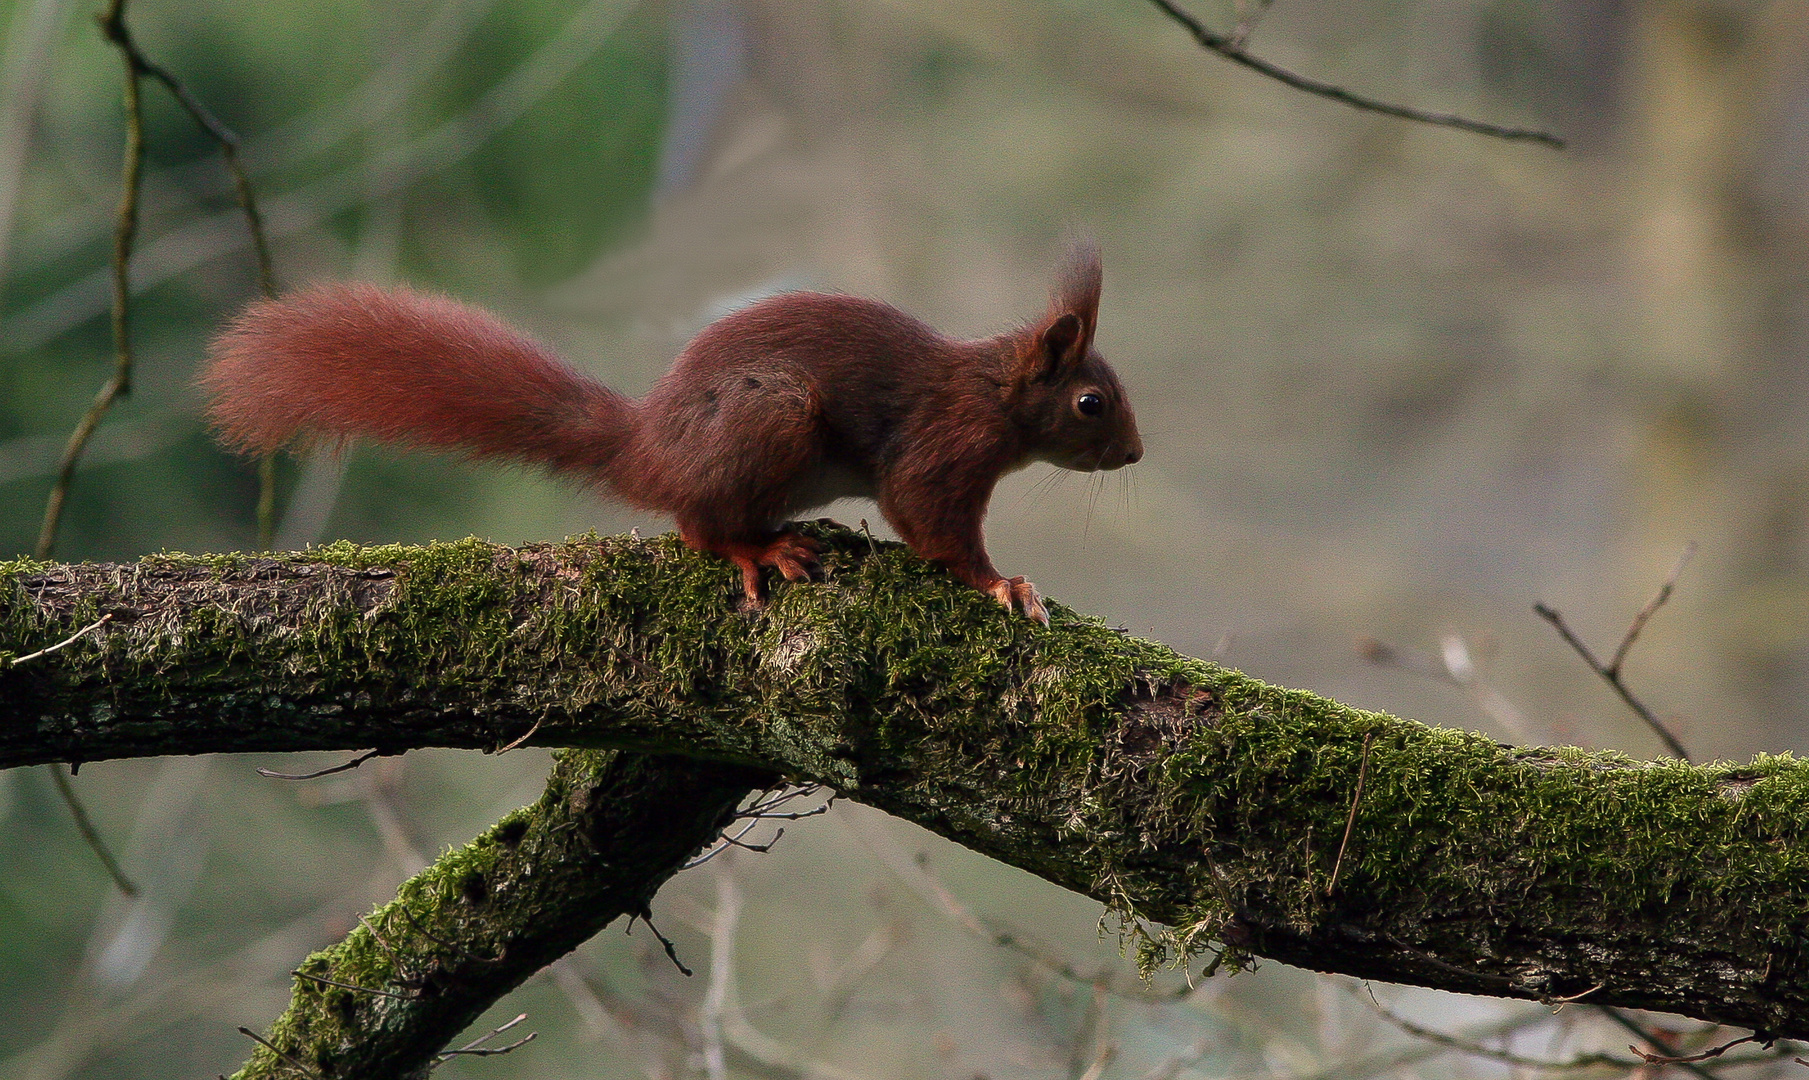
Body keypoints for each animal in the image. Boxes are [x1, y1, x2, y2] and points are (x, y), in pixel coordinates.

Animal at [205, 240, 1136, 618]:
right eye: (1091, 403)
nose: (1133, 452)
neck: (994, 391)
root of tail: (647, 448)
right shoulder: (944, 446)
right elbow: (932, 523)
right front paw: (1001, 584)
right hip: (772, 418)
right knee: (695, 527)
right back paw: (756, 549)